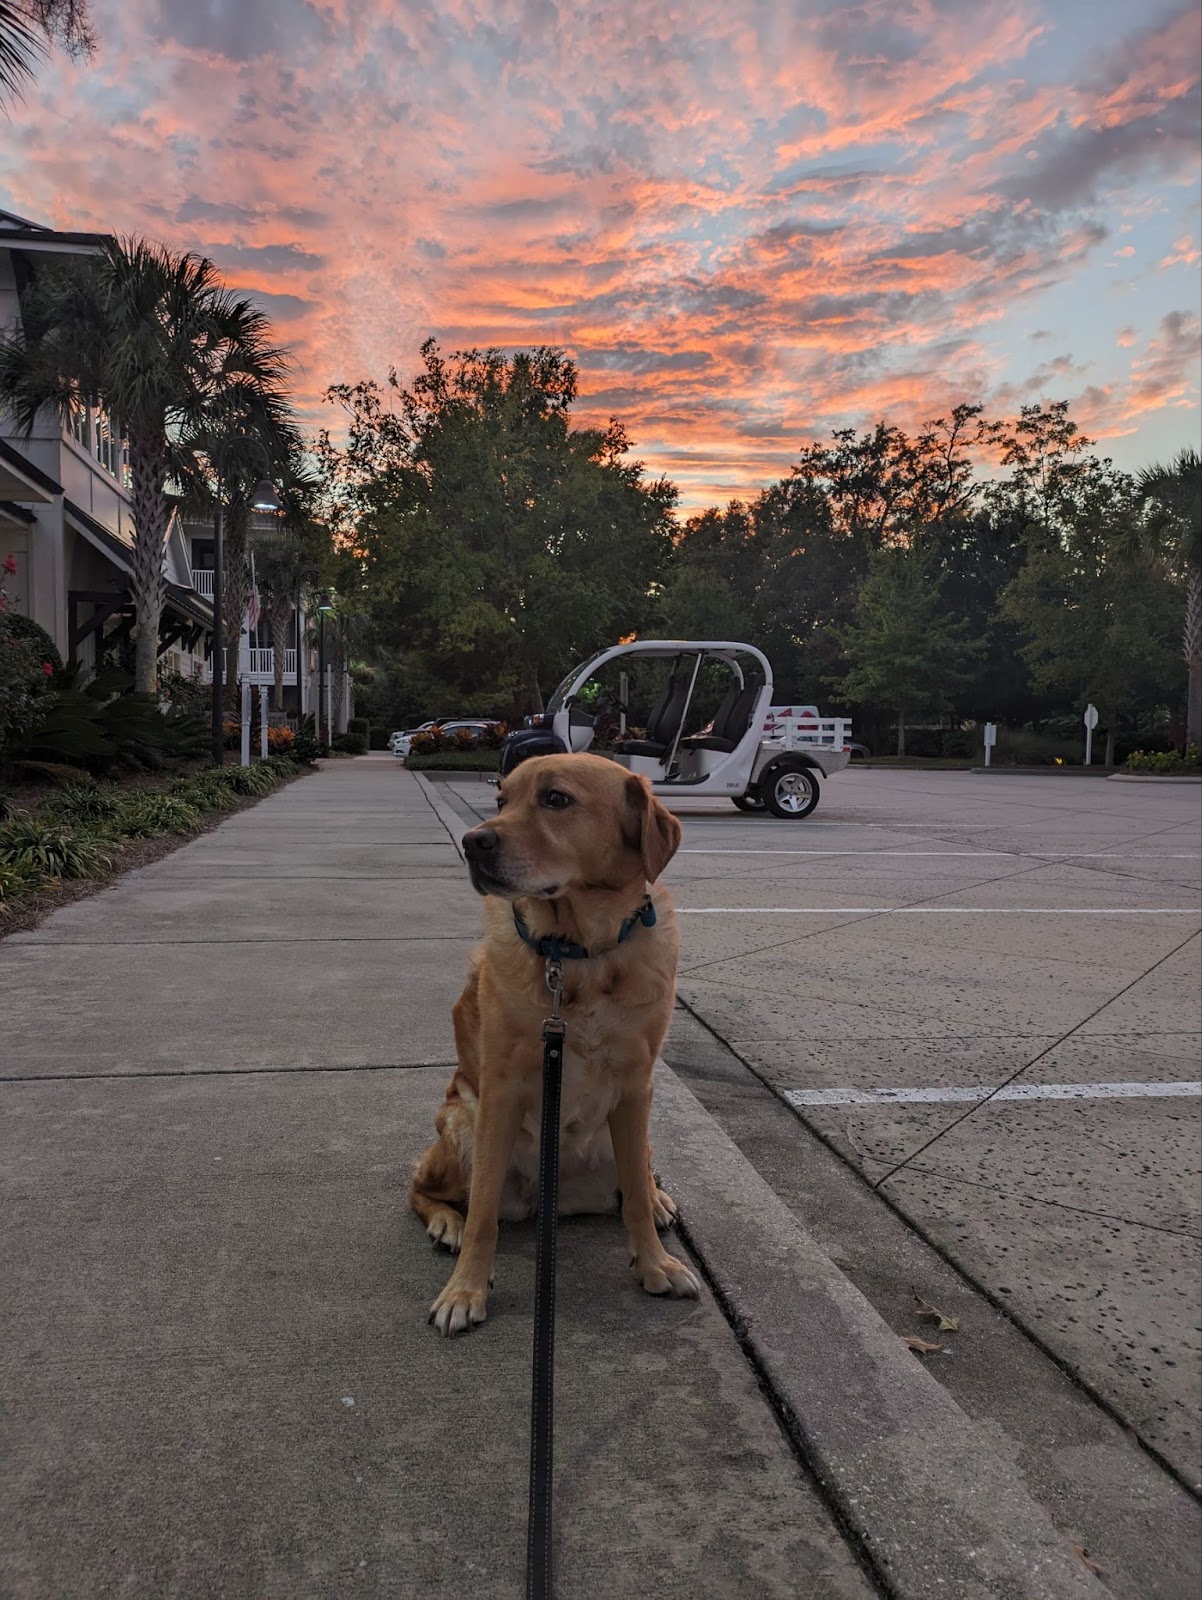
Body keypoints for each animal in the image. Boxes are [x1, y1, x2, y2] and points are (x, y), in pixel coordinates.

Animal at [412, 755, 701, 1331]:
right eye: (501, 800)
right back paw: (445, 1224)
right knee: (422, 1188)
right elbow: (481, 1215)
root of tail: (552, 1199)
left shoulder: (636, 1086)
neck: (575, 954)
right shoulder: (500, 1090)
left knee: (638, 1176)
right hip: (462, 1125)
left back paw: (660, 1200)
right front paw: (464, 1290)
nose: (473, 842)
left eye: (556, 799)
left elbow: (636, 1196)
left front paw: (654, 1263)